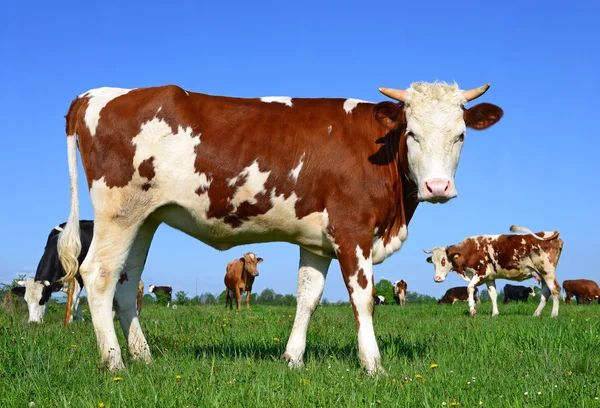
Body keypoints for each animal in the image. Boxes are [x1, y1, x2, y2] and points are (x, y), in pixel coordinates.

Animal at [58, 79, 504, 372]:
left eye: (461, 136)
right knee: (98, 275)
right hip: (119, 212)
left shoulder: (318, 241)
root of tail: (97, 93)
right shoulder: (353, 229)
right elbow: (363, 299)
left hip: (146, 218)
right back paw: (114, 363)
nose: (438, 187)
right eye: (411, 133)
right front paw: (373, 365)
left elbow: (308, 297)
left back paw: (144, 357)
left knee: (126, 283)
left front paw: (292, 359)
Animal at [426, 225, 564, 318]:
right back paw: (536, 314)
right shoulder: (490, 277)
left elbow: (470, 288)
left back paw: (553, 315)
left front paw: (472, 310)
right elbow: (493, 295)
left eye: (444, 260)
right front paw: (495, 313)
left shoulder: (481, 272)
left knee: (555, 289)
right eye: (433, 262)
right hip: (541, 274)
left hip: (547, 271)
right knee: (546, 292)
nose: (437, 279)